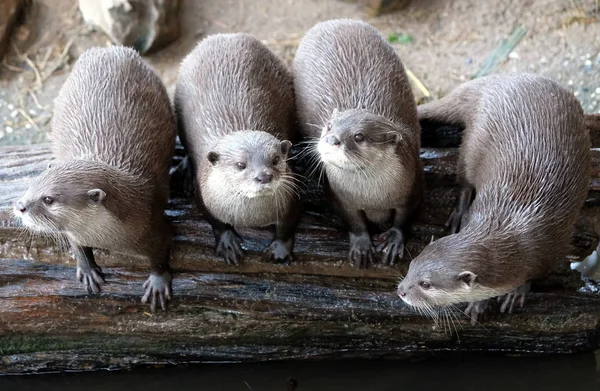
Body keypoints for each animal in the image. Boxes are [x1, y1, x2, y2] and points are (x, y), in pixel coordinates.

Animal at [12, 46, 177, 310]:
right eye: (33, 183)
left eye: (48, 199)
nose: (20, 206)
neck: (108, 237)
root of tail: (109, 49)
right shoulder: (75, 233)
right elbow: (76, 246)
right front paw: (88, 269)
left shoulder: (153, 226)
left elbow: (161, 255)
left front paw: (158, 282)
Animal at [176, 34, 302, 266]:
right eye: (240, 165)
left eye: (275, 159)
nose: (264, 176)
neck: (252, 217)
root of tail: (225, 36)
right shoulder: (206, 197)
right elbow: (216, 223)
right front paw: (227, 243)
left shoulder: (292, 199)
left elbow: (287, 226)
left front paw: (279, 250)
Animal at [292, 18, 424, 270]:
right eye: (329, 125)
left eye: (359, 136)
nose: (332, 139)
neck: (372, 196)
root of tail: (333, 21)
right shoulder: (341, 197)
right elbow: (354, 221)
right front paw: (362, 245)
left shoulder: (412, 185)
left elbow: (403, 218)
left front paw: (394, 240)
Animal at [396, 74, 588, 324]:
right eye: (411, 265)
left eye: (425, 283)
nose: (401, 290)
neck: (519, 239)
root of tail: (491, 84)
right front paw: (480, 303)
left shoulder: (553, 250)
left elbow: (534, 276)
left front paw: (516, 292)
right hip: (472, 144)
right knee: (465, 180)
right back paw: (458, 215)